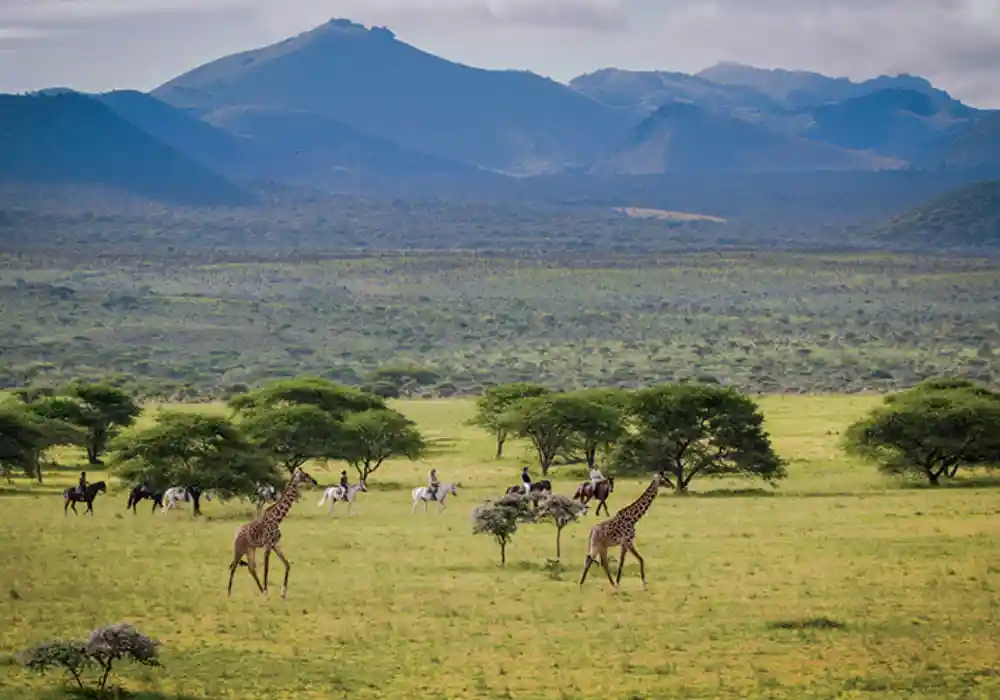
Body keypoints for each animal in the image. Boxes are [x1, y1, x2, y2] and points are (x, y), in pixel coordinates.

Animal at [228, 468, 318, 600]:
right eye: (305, 475)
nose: (315, 481)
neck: (278, 518)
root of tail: (235, 534)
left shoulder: (275, 544)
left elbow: (287, 565)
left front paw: (283, 593)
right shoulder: (267, 544)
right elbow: (266, 568)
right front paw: (267, 593)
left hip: (250, 549)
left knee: (251, 568)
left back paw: (259, 591)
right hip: (239, 549)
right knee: (233, 567)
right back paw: (229, 594)